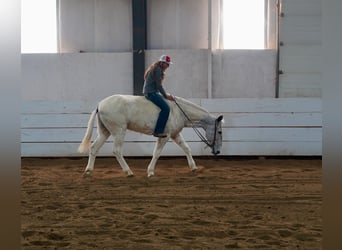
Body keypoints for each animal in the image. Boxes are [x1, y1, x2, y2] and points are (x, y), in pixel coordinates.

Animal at [78, 94, 223, 178]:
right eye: (220, 132)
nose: (218, 151)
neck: (178, 111)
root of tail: (100, 105)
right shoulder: (165, 136)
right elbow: (157, 153)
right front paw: (150, 171)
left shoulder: (175, 134)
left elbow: (186, 148)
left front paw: (193, 168)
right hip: (119, 131)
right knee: (117, 151)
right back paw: (128, 172)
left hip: (105, 132)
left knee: (94, 148)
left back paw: (88, 171)